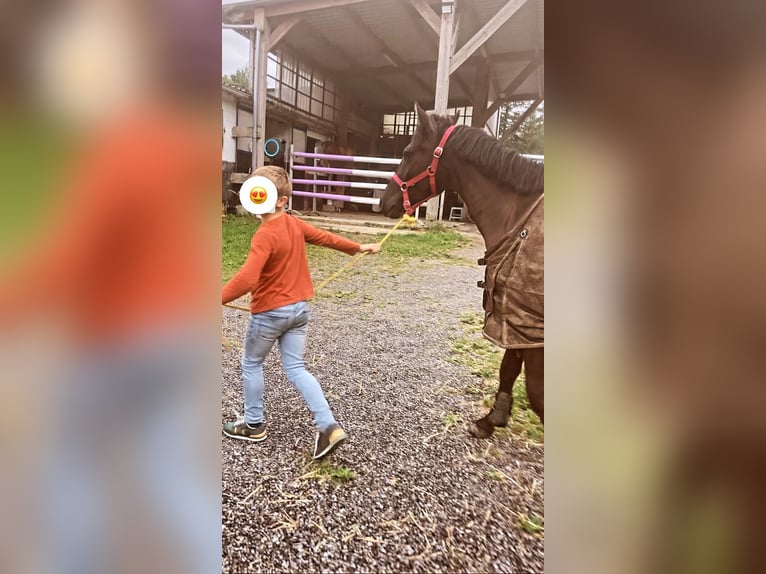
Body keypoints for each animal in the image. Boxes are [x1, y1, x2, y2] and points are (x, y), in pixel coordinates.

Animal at [380, 104, 544, 436]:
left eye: (406, 152)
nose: (383, 202)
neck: (521, 220)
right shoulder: (514, 317)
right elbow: (509, 367)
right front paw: (492, 419)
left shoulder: (531, 328)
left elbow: (536, 394)